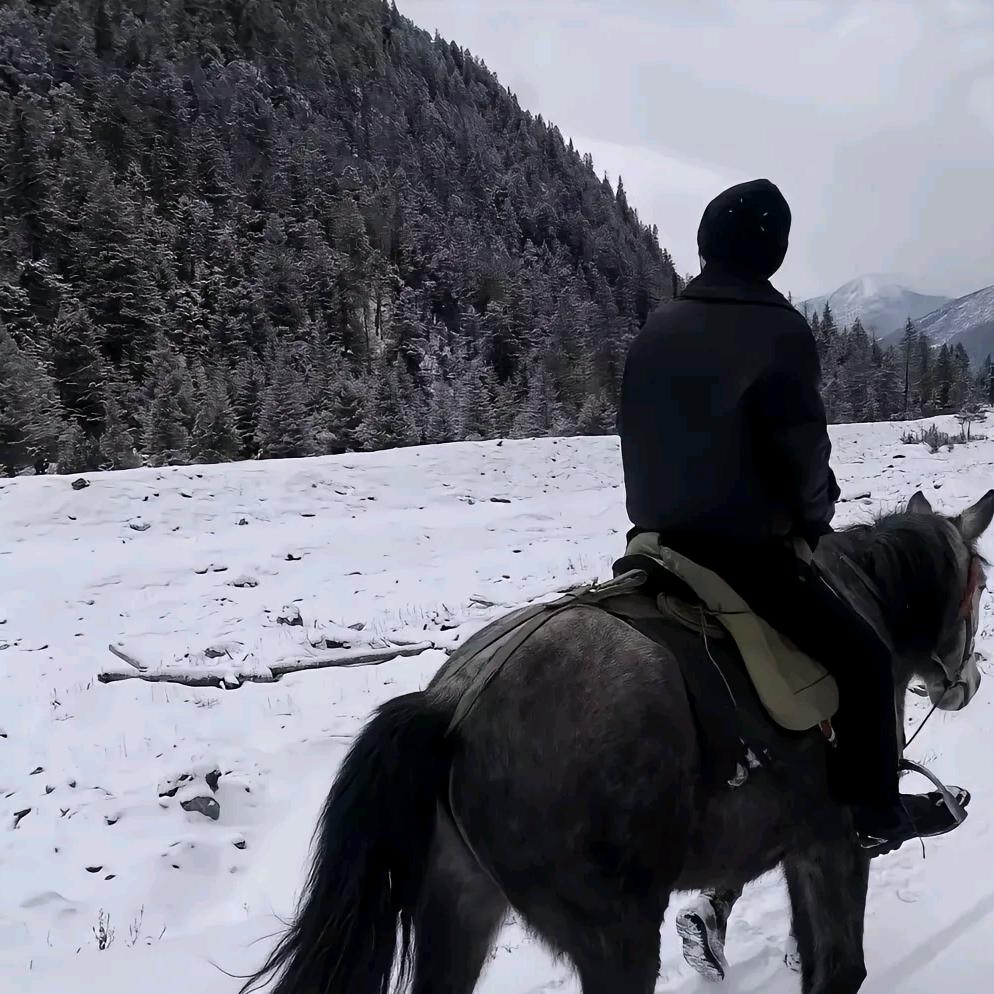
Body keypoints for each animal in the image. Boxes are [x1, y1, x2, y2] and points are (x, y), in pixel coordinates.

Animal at [241, 489, 992, 994]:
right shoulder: (832, 841)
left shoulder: (781, 831)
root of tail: (451, 706)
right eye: (980, 581)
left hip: (459, 902)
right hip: (613, 933)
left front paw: (710, 933)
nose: (968, 682)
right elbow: (838, 967)